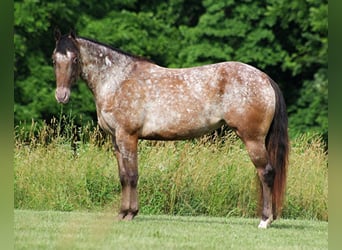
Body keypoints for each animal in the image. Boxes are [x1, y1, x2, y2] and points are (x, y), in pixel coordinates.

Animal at [52, 29, 288, 229]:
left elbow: (132, 175)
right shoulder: (116, 140)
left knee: (266, 173)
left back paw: (265, 221)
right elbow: (122, 176)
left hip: (252, 139)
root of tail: (265, 78)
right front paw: (122, 213)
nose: (61, 96)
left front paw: (131, 213)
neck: (118, 80)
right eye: (54, 59)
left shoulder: (128, 137)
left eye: (75, 59)